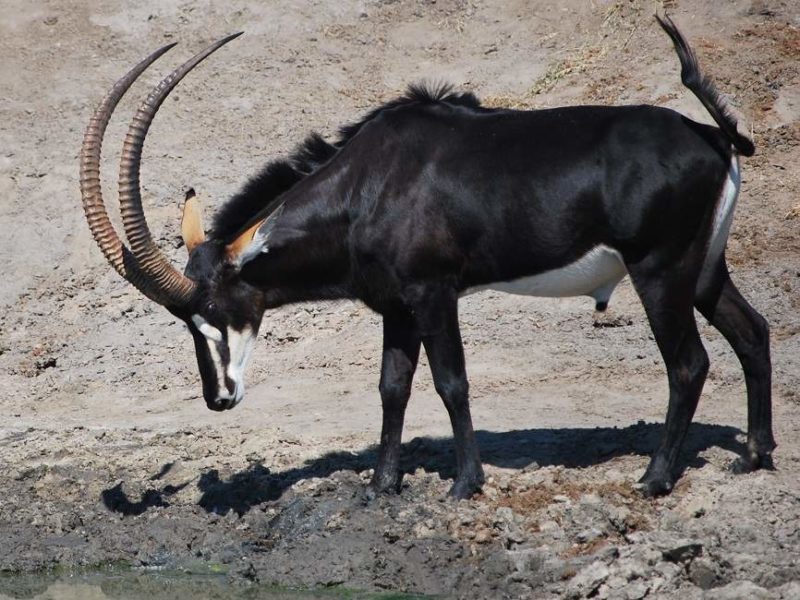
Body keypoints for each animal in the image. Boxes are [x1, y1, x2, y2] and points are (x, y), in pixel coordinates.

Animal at [83, 16, 776, 500]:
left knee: (688, 363)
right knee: (752, 332)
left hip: (660, 271)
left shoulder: (432, 293)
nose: (218, 398)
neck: (369, 182)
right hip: (704, 272)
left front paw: (465, 484)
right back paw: (756, 455)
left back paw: (656, 478)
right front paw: (381, 485)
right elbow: (392, 387)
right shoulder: (396, 306)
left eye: (213, 313)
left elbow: (451, 381)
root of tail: (714, 137)